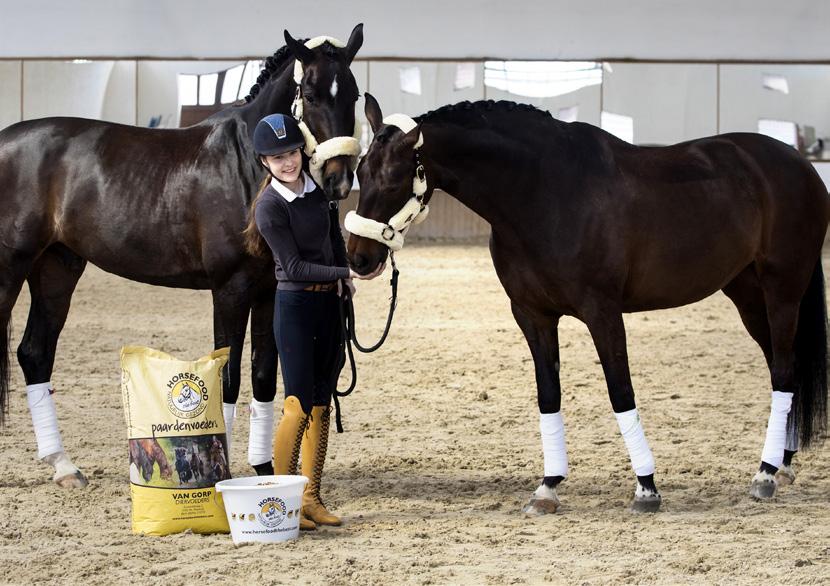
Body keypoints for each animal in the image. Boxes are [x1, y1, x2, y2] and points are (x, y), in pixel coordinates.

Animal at [0, 25, 364, 486]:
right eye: (312, 95)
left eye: (353, 94)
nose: (338, 180)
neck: (245, 165)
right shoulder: (230, 289)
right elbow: (229, 375)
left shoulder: (269, 291)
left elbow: (263, 376)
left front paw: (264, 469)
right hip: (11, 266)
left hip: (56, 268)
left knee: (35, 352)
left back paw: (64, 467)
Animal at [348, 94, 828, 512]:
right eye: (359, 171)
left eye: (393, 180)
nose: (359, 258)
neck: (543, 191)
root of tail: (799, 164)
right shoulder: (532, 315)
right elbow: (549, 394)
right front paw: (548, 486)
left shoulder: (603, 312)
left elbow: (620, 390)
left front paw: (646, 488)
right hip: (746, 295)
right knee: (781, 368)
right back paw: (780, 465)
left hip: (782, 291)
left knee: (784, 371)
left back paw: (764, 474)